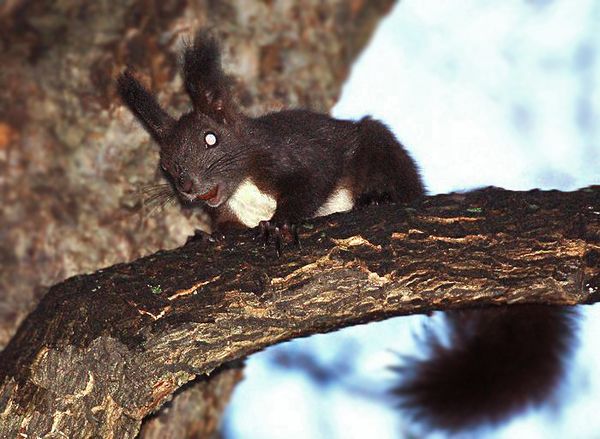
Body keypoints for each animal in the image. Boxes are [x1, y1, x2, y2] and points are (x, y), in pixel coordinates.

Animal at [117, 32, 576, 434]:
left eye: (211, 139)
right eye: (165, 164)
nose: (187, 185)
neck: (242, 185)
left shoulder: (297, 156)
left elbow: (311, 185)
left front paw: (282, 223)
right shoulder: (228, 210)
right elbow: (228, 228)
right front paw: (206, 237)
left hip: (381, 150)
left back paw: (376, 200)